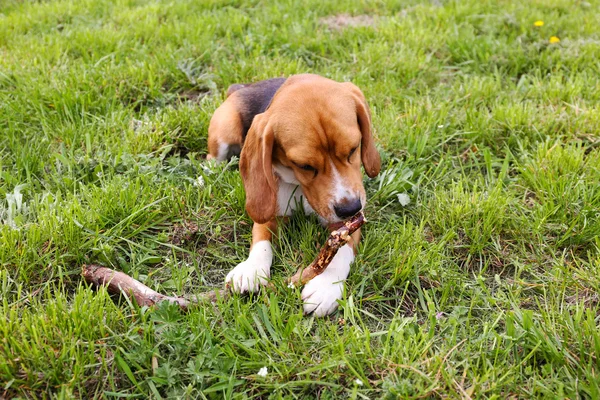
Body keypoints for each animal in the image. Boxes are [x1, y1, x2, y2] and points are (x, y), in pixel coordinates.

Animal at [209, 74, 382, 316]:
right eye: (304, 166)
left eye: (353, 149)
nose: (351, 209)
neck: (300, 189)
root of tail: (242, 88)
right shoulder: (269, 213)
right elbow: (261, 240)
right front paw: (252, 268)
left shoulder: (347, 225)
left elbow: (340, 251)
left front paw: (326, 286)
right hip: (224, 131)